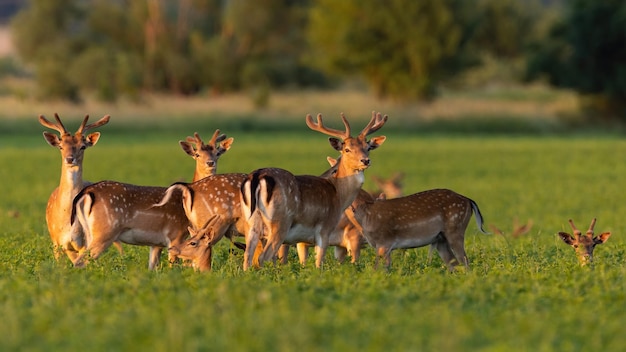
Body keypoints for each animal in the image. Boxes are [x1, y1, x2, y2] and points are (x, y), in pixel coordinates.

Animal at [69, 129, 234, 270]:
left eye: (217, 153)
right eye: (197, 154)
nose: (210, 163)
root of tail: (86, 192)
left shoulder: (156, 244)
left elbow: (152, 268)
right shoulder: (175, 235)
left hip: (89, 232)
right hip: (105, 232)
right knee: (80, 262)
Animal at [241, 112, 388, 270]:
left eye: (368, 147)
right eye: (347, 149)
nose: (365, 161)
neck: (338, 195)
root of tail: (257, 177)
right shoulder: (325, 229)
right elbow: (319, 263)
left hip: (251, 223)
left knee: (247, 257)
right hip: (279, 222)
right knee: (263, 257)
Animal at [346, 188, 488, 270]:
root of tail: (469, 201)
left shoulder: (384, 241)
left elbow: (379, 269)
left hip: (456, 229)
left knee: (465, 262)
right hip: (441, 240)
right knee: (454, 263)